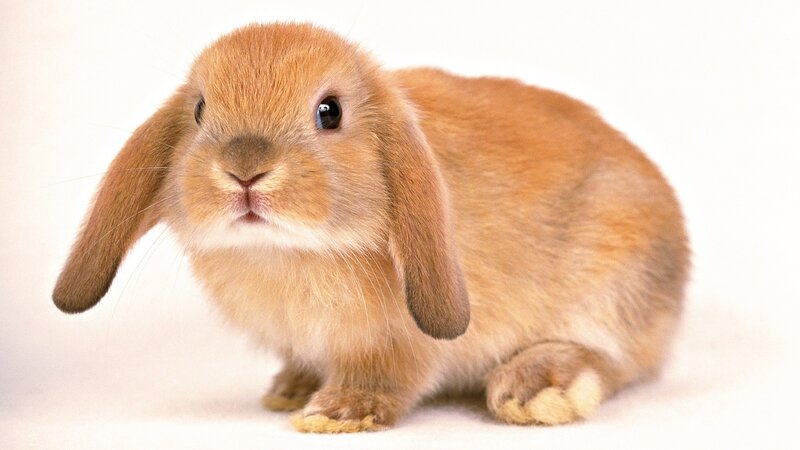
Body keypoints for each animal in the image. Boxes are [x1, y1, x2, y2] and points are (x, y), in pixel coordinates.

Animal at [52, 23, 690, 433]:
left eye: (329, 112)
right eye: (200, 110)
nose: (244, 169)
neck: (289, 251)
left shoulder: (397, 343)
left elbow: (389, 376)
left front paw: (336, 413)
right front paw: (291, 391)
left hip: (611, 286)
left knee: (612, 360)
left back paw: (535, 389)